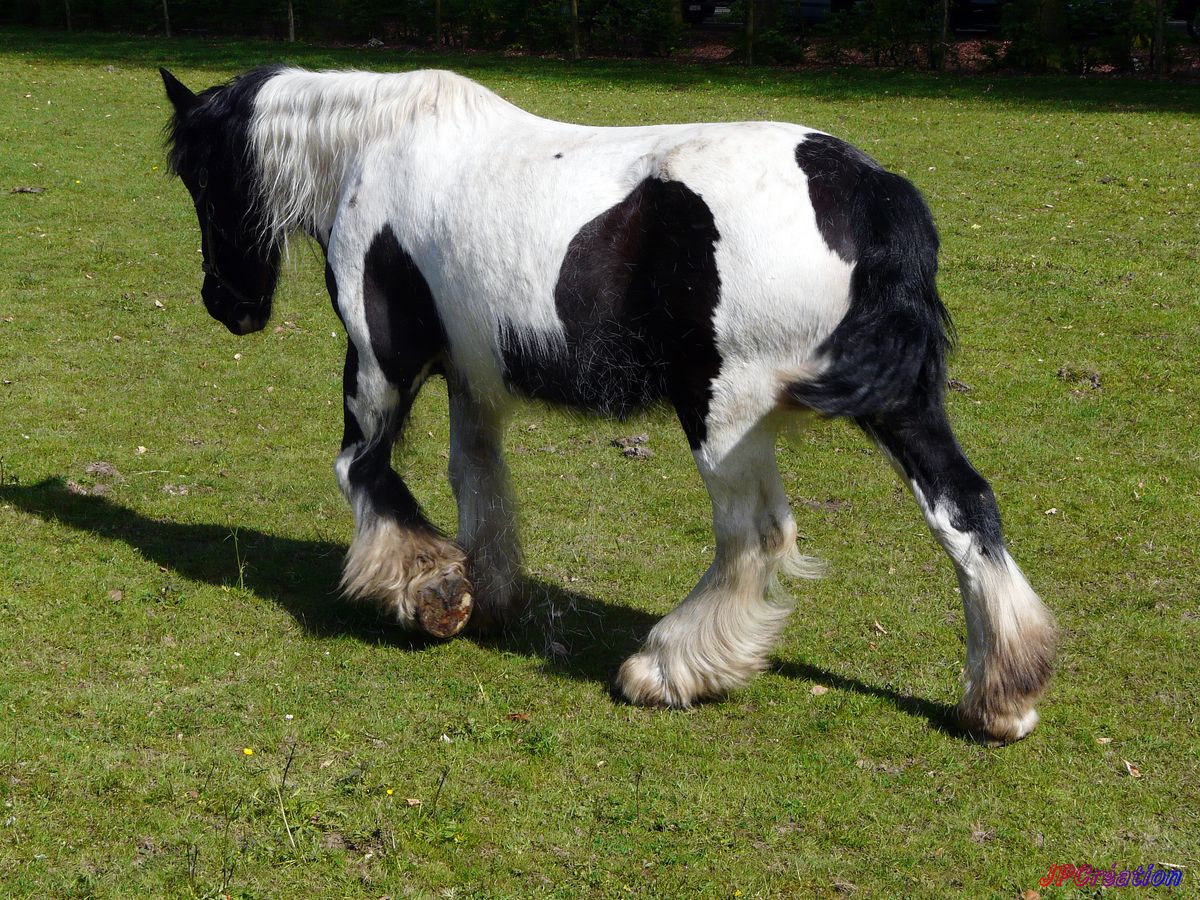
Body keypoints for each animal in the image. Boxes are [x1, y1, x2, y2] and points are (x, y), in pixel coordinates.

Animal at [162, 65, 1060, 748]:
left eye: (201, 178)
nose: (226, 305)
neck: (376, 147)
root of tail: (870, 192)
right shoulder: (472, 379)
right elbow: (475, 478)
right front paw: (485, 592)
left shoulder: (382, 364)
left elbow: (362, 468)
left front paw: (430, 591)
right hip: (901, 408)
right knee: (965, 509)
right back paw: (1002, 697)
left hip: (722, 413)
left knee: (755, 536)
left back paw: (667, 668)